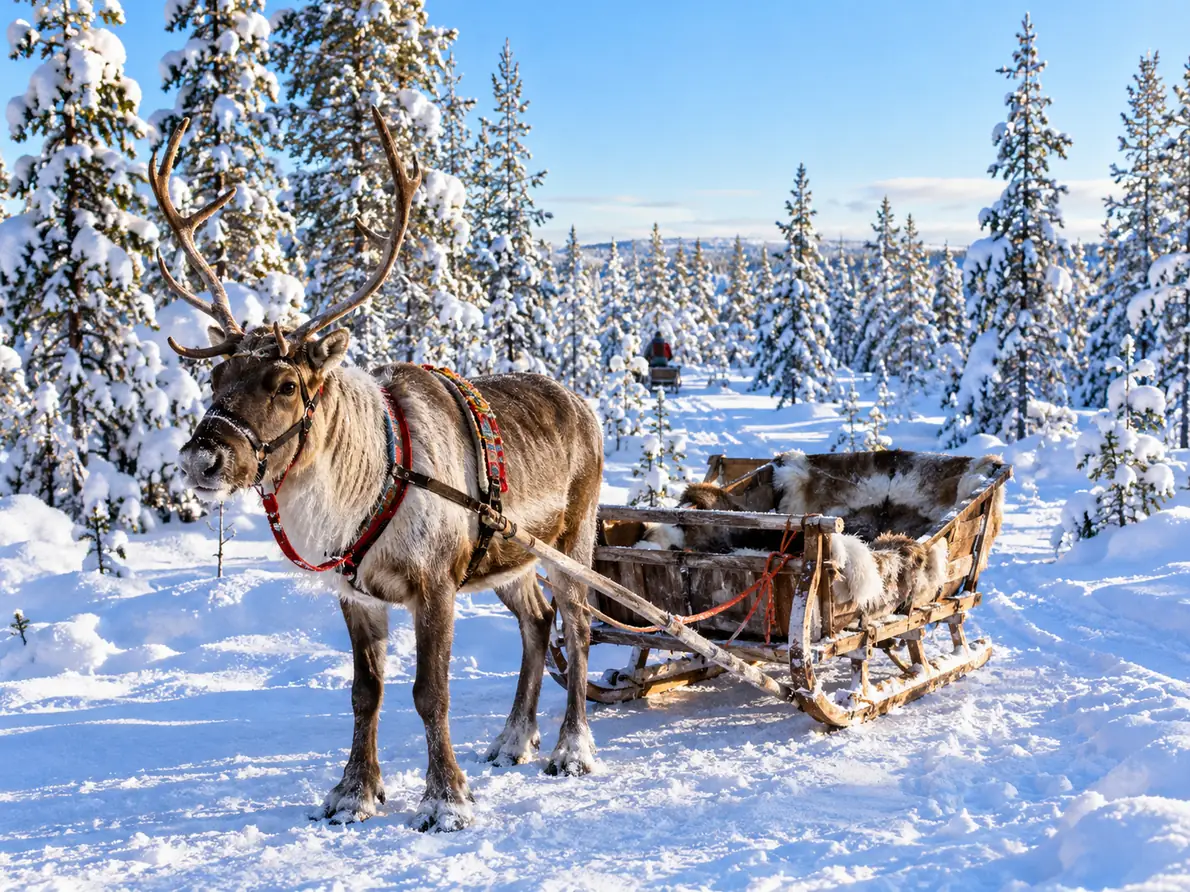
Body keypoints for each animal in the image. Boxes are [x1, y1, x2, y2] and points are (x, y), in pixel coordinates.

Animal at [150, 109, 603, 832]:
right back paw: (512, 739)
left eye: (285, 384)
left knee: (580, 629)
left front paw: (446, 800)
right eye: (216, 377)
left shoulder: (436, 585)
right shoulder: (357, 594)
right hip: (509, 560)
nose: (203, 456)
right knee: (536, 624)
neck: (358, 487)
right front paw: (353, 792)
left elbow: (429, 694)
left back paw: (571, 750)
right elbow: (367, 692)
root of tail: (584, 403)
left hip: (571, 540)